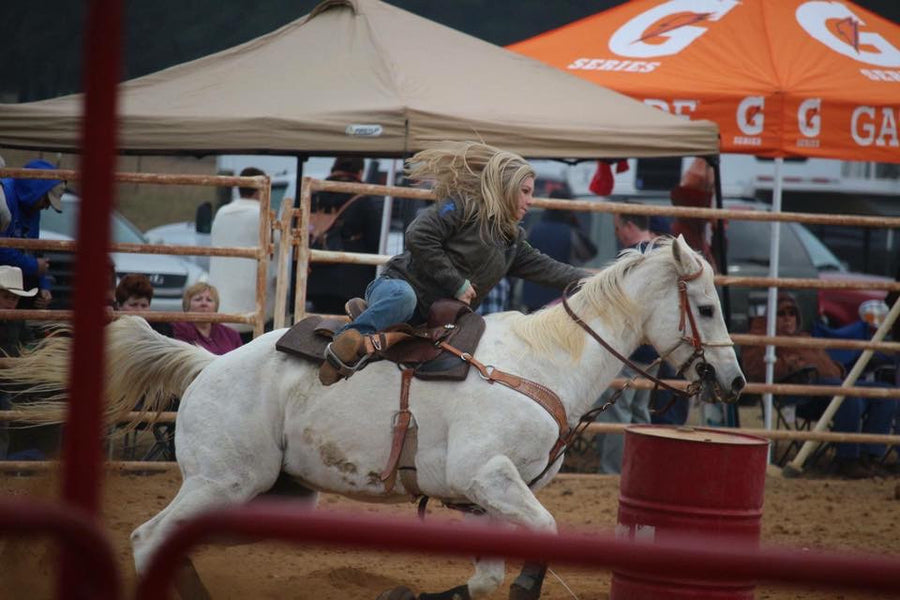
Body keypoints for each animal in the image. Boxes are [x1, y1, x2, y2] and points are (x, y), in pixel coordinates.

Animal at [10, 236, 744, 600]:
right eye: (707, 307)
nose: (733, 381)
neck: (542, 363)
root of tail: (205, 364)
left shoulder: (484, 501)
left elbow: (483, 580)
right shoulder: (489, 478)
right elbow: (540, 541)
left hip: (265, 495)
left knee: (170, 543)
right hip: (224, 482)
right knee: (147, 538)